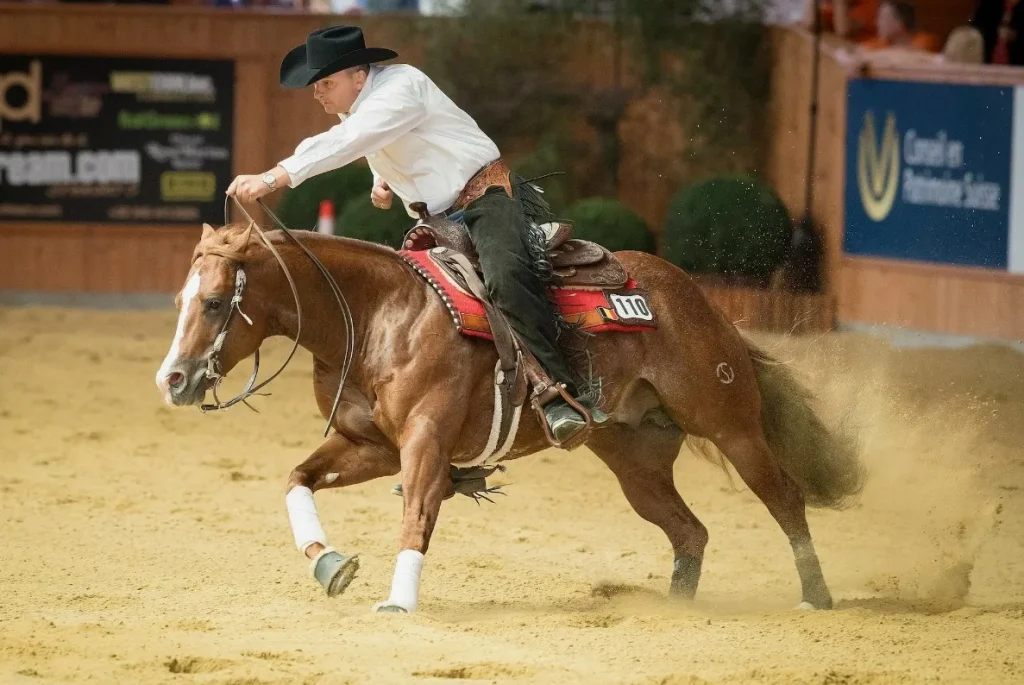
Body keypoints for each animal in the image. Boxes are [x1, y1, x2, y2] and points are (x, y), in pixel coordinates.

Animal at [153, 216, 864, 610]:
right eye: (183, 298)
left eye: (214, 302)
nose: (173, 380)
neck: (379, 315)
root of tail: (702, 301)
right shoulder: (372, 446)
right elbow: (297, 478)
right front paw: (331, 566)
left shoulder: (425, 444)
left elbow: (416, 515)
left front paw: (398, 603)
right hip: (635, 460)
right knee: (689, 532)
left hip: (731, 425)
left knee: (784, 498)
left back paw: (815, 597)